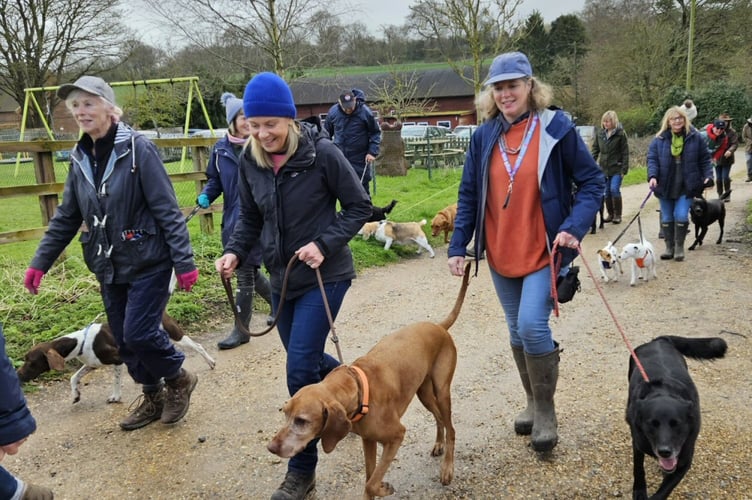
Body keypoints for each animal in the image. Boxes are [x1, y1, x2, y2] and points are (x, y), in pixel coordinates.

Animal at [268, 264, 472, 498]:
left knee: (451, 428)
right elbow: (369, 477)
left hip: (442, 390)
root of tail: (438, 326)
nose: (271, 447)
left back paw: (447, 468)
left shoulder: (396, 436)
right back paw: (439, 443)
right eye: (285, 414)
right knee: (438, 418)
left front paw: (384, 487)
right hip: (424, 393)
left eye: (301, 421)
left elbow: (371, 482)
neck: (358, 391)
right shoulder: (369, 440)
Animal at [628, 336, 728, 500]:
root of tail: (658, 340)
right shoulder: (638, 443)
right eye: (652, 424)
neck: (663, 391)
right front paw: (640, 491)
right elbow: (638, 468)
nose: (665, 452)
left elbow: (664, 490)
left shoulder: (684, 460)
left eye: (676, 424)